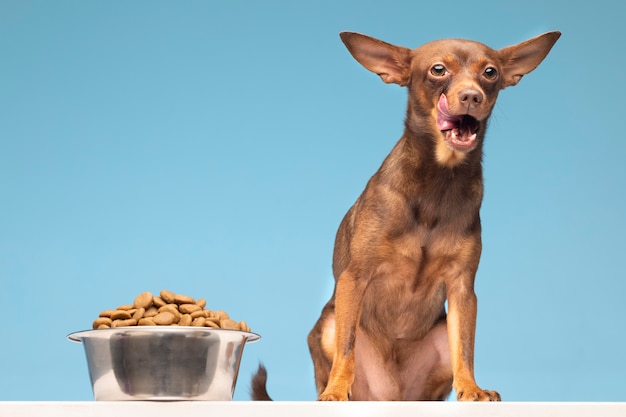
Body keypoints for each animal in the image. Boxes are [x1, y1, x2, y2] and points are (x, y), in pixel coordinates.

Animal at [251, 29, 560, 400]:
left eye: (490, 73)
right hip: (329, 324)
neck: (438, 182)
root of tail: (393, 396)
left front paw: (471, 389)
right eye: (438, 69)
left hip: (438, 338)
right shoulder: (354, 279)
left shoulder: (462, 289)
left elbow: (465, 348)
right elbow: (346, 346)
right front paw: (336, 391)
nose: (472, 96)